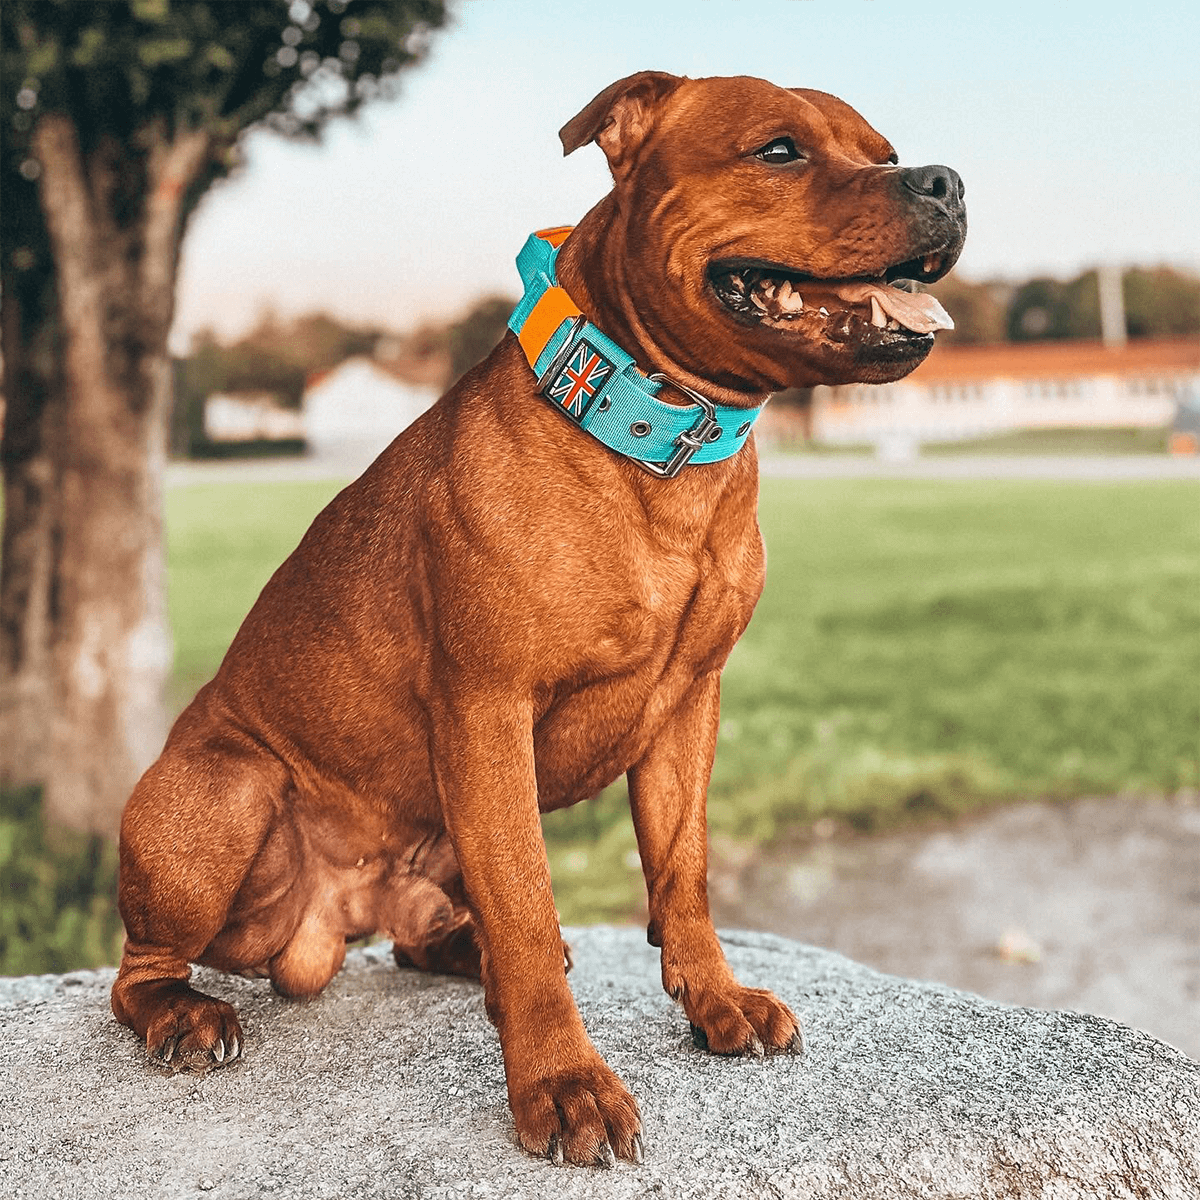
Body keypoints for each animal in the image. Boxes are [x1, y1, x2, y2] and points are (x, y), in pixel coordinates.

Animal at [112, 72, 964, 1161]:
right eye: (779, 150)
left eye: (883, 150)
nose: (944, 179)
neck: (661, 442)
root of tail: (329, 922)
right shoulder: (487, 713)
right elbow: (523, 896)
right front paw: (563, 1081)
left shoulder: (690, 709)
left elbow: (682, 871)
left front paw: (714, 1000)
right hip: (226, 794)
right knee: (138, 968)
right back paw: (183, 1013)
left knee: (420, 939)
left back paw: (456, 952)